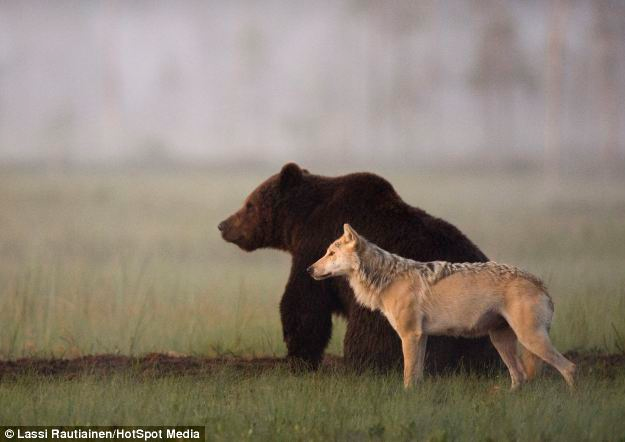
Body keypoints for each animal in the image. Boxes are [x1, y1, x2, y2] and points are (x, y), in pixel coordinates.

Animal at [217, 164, 500, 372]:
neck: (301, 221)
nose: (223, 224)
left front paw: (298, 356)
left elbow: (304, 303)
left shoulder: (315, 246)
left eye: (249, 205)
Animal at [308, 224, 576, 390]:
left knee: (569, 368)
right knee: (519, 377)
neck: (387, 279)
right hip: (502, 341)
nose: (309, 269)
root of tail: (540, 283)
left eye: (330, 253)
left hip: (530, 340)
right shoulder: (421, 337)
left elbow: (408, 375)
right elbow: (417, 375)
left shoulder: (410, 336)